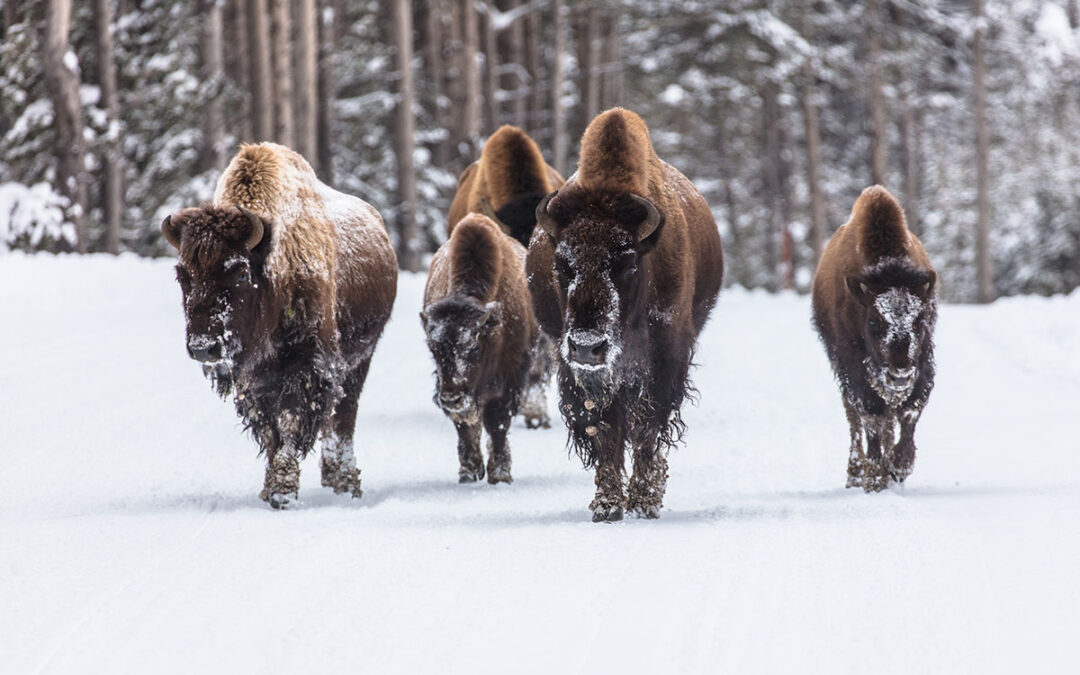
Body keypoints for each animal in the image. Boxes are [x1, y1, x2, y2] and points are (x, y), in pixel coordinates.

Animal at [159, 143, 397, 509]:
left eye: (240, 272)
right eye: (182, 275)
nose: (203, 347)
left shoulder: (310, 368)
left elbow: (290, 424)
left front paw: (283, 493)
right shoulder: (253, 380)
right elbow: (270, 431)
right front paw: (271, 487)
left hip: (360, 360)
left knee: (344, 417)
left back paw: (346, 482)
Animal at [421, 212, 540, 481]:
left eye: (473, 348)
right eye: (434, 351)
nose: (451, 398)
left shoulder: (510, 378)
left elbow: (498, 422)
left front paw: (500, 474)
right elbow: (464, 424)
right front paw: (469, 471)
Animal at [812, 184, 937, 490]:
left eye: (920, 320)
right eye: (873, 321)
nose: (899, 374)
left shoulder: (923, 363)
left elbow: (909, 412)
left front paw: (900, 466)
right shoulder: (853, 367)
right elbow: (870, 416)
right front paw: (874, 474)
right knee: (856, 419)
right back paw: (857, 472)